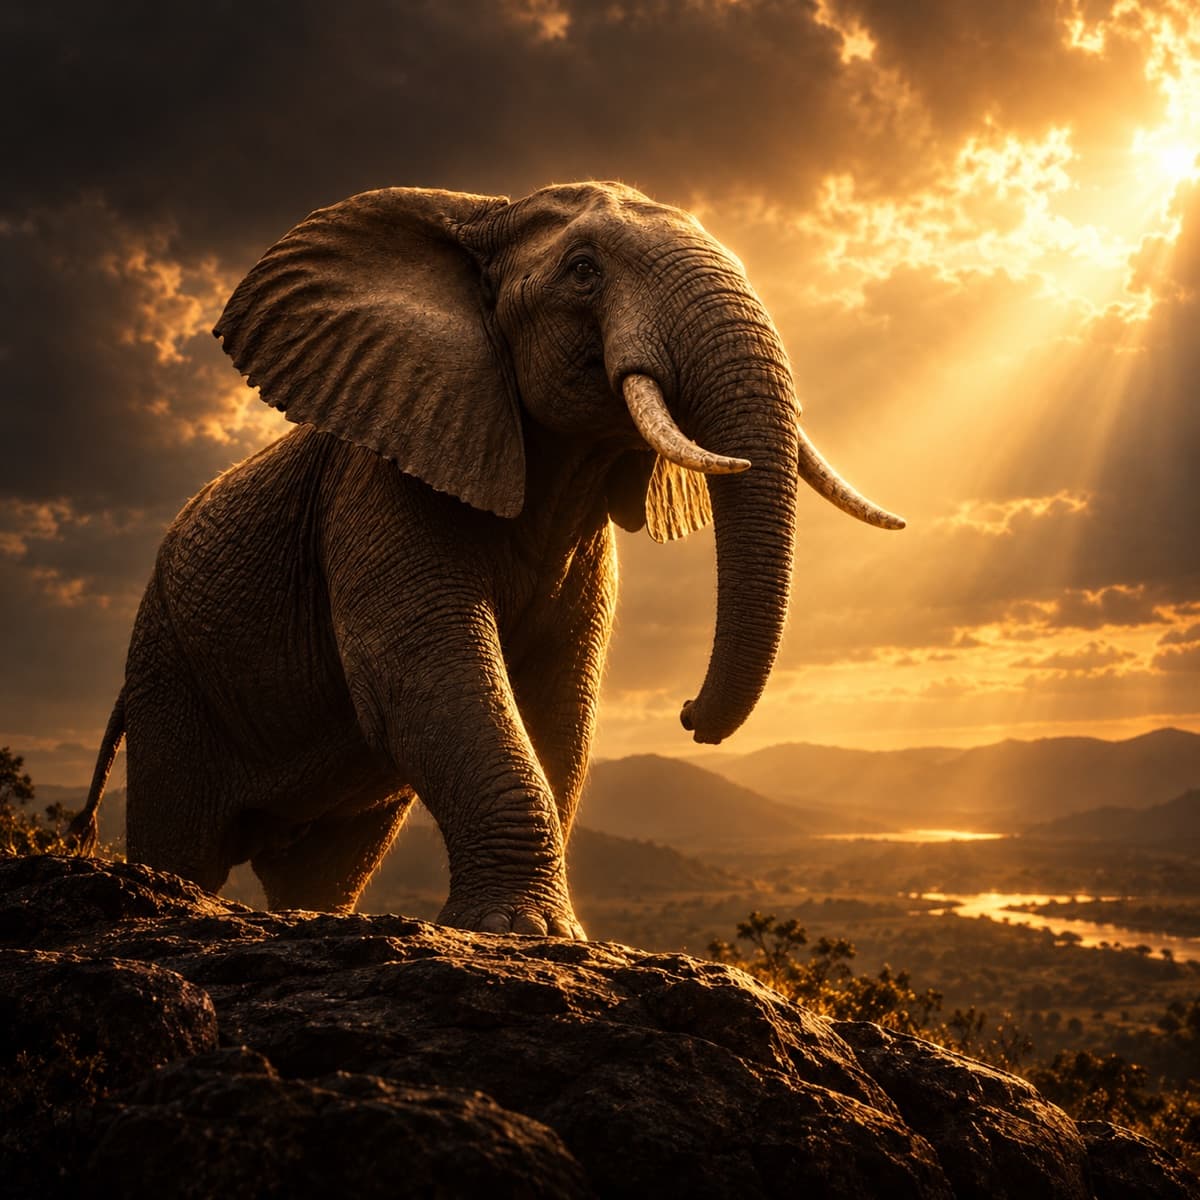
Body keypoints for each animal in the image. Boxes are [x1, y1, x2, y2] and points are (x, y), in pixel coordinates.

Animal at [72, 181, 903, 936]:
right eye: (582, 270)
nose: (690, 716)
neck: (483, 216)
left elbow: (562, 697)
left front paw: (542, 929)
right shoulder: (382, 486)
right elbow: (425, 670)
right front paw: (521, 931)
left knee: (324, 867)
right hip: (171, 672)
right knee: (185, 842)